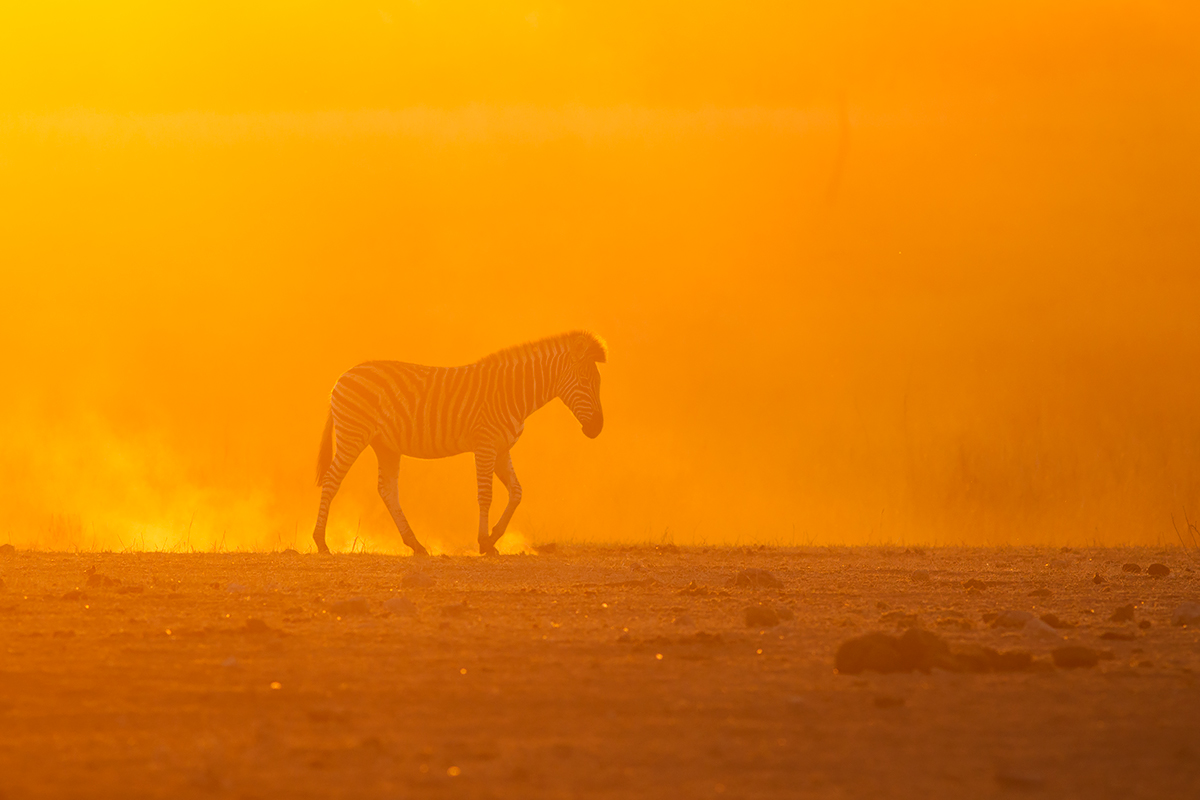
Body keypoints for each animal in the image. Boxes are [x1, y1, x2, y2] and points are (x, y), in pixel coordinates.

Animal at [312, 331, 607, 555]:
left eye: (598, 383)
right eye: (584, 381)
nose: (597, 429)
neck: (512, 392)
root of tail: (341, 378)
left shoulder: (502, 449)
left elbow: (517, 492)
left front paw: (494, 537)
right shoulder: (485, 445)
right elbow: (486, 494)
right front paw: (484, 542)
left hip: (386, 446)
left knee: (387, 491)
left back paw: (416, 545)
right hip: (353, 436)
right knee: (331, 481)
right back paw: (321, 543)